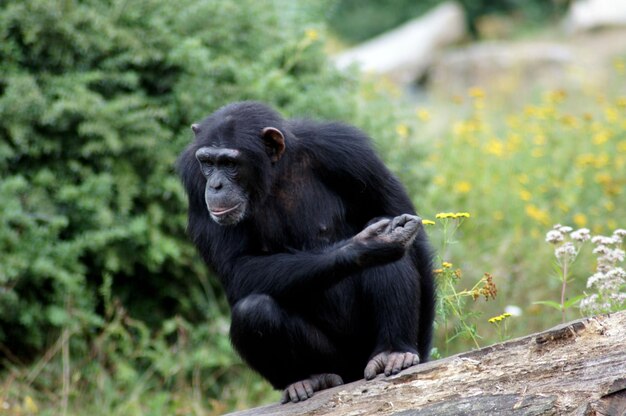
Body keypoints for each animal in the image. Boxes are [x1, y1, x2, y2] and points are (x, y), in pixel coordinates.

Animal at [177, 101, 434, 404]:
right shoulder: (194, 180)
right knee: (254, 311)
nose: (215, 185)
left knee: (387, 228)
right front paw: (368, 246)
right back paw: (310, 378)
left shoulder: (350, 153)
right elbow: (236, 267)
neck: (275, 173)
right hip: (339, 362)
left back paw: (392, 352)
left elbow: (402, 222)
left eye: (229, 163)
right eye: (207, 162)